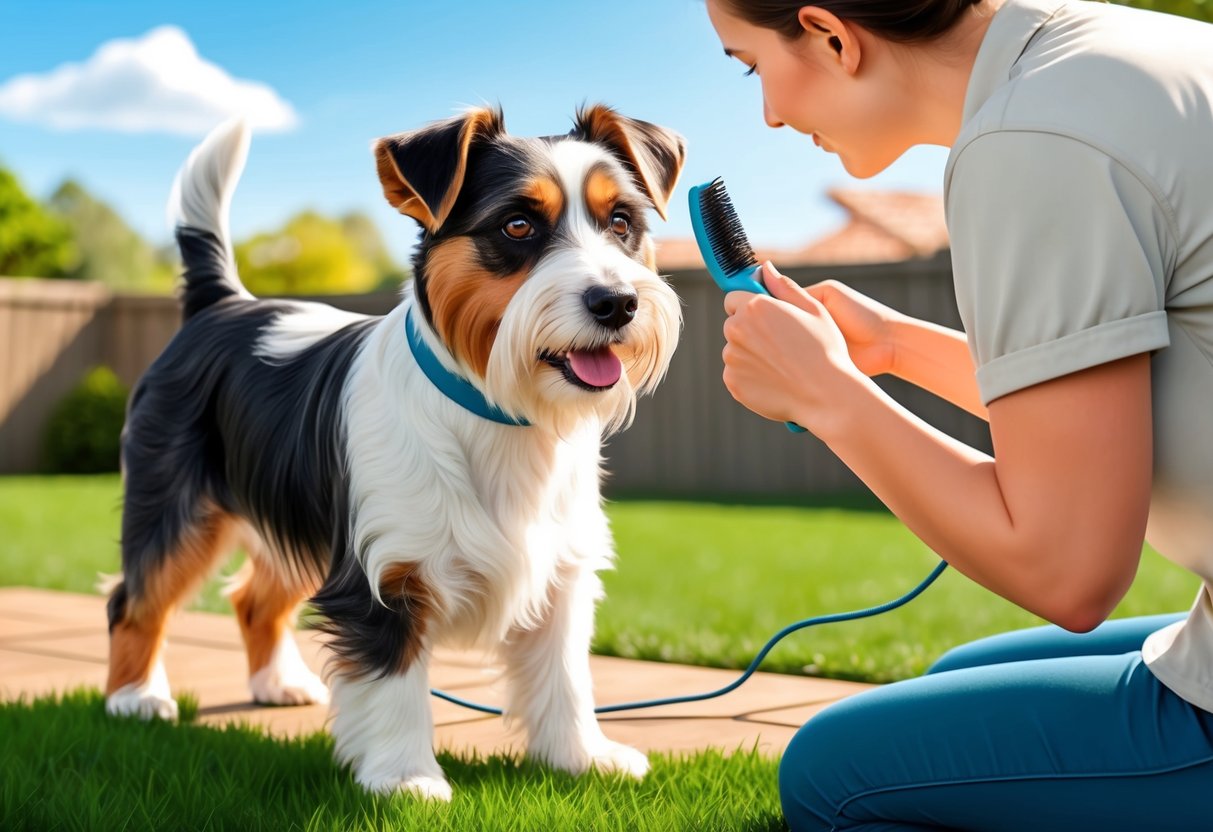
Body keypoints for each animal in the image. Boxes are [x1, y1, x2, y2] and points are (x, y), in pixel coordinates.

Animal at [103, 104, 684, 800]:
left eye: (621, 222)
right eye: (517, 224)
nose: (617, 302)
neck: (500, 413)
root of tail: (221, 305)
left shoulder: (562, 570)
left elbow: (565, 674)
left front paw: (582, 758)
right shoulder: (385, 575)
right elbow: (395, 679)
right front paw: (407, 779)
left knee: (253, 600)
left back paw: (276, 684)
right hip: (178, 508)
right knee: (135, 598)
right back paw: (135, 697)